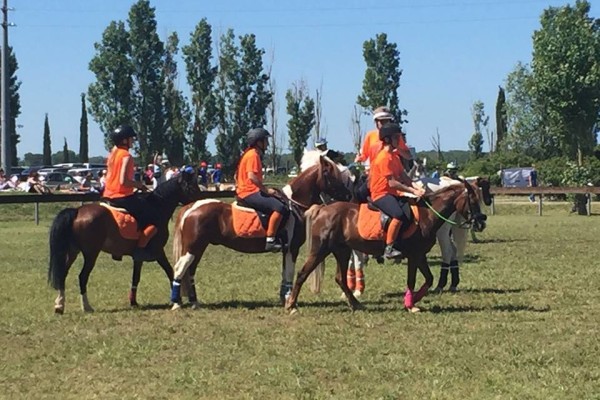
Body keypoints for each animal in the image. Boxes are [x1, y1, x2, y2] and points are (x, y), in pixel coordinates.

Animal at [47, 170, 202, 314]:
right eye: (192, 187)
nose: (200, 201)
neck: (156, 208)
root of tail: (77, 211)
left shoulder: (138, 257)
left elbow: (135, 278)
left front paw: (133, 301)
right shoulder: (158, 252)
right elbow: (170, 272)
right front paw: (177, 300)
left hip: (73, 251)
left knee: (63, 273)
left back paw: (59, 305)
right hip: (91, 254)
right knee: (82, 277)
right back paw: (86, 306)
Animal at [169, 151, 354, 310]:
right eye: (331, 173)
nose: (348, 196)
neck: (293, 204)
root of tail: (191, 207)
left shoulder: (286, 250)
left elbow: (285, 274)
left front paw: (284, 299)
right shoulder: (292, 248)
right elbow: (289, 273)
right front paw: (290, 302)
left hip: (198, 247)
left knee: (190, 271)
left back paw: (194, 302)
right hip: (193, 247)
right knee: (180, 269)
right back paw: (176, 303)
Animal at [286, 180, 488, 314]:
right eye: (472, 200)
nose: (481, 223)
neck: (427, 215)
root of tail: (322, 209)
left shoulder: (420, 255)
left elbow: (429, 279)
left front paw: (414, 299)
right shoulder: (414, 255)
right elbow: (412, 280)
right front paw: (410, 304)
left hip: (342, 251)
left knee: (340, 278)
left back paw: (355, 304)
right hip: (320, 250)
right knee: (303, 273)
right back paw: (291, 304)